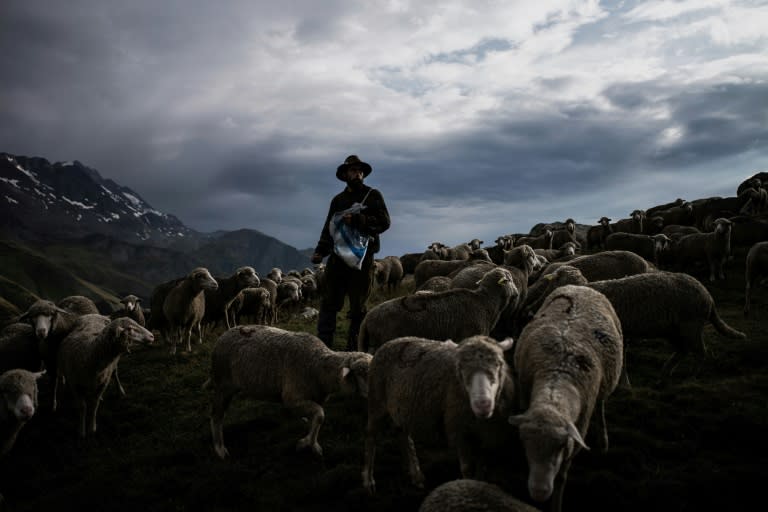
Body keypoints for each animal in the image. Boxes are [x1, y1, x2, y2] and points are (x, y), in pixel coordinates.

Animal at [204, 326, 372, 462]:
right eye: (361, 374)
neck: (317, 365)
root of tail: (223, 335)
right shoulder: (292, 398)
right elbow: (320, 415)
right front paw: (307, 444)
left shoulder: (316, 397)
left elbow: (317, 418)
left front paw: (310, 442)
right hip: (223, 385)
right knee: (216, 415)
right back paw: (220, 449)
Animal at [362, 334, 516, 494]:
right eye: (460, 368)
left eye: (499, 364)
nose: (482, 404)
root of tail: (392, 341)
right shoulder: (459, 431)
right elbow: (467, 469)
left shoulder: (487, 436)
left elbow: (481, 470)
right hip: (376, 401)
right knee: (370, 436)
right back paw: (368, 481)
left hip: (402, 408)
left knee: (403, 436)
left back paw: (416, 475)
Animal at [510, 284, 624, 512]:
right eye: (524, 442)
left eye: (562, 446)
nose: (539, 492)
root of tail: (581, 286)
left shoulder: (578, 433)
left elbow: (562, 476)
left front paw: (556, 503)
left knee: (601, 404)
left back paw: (603, 440)